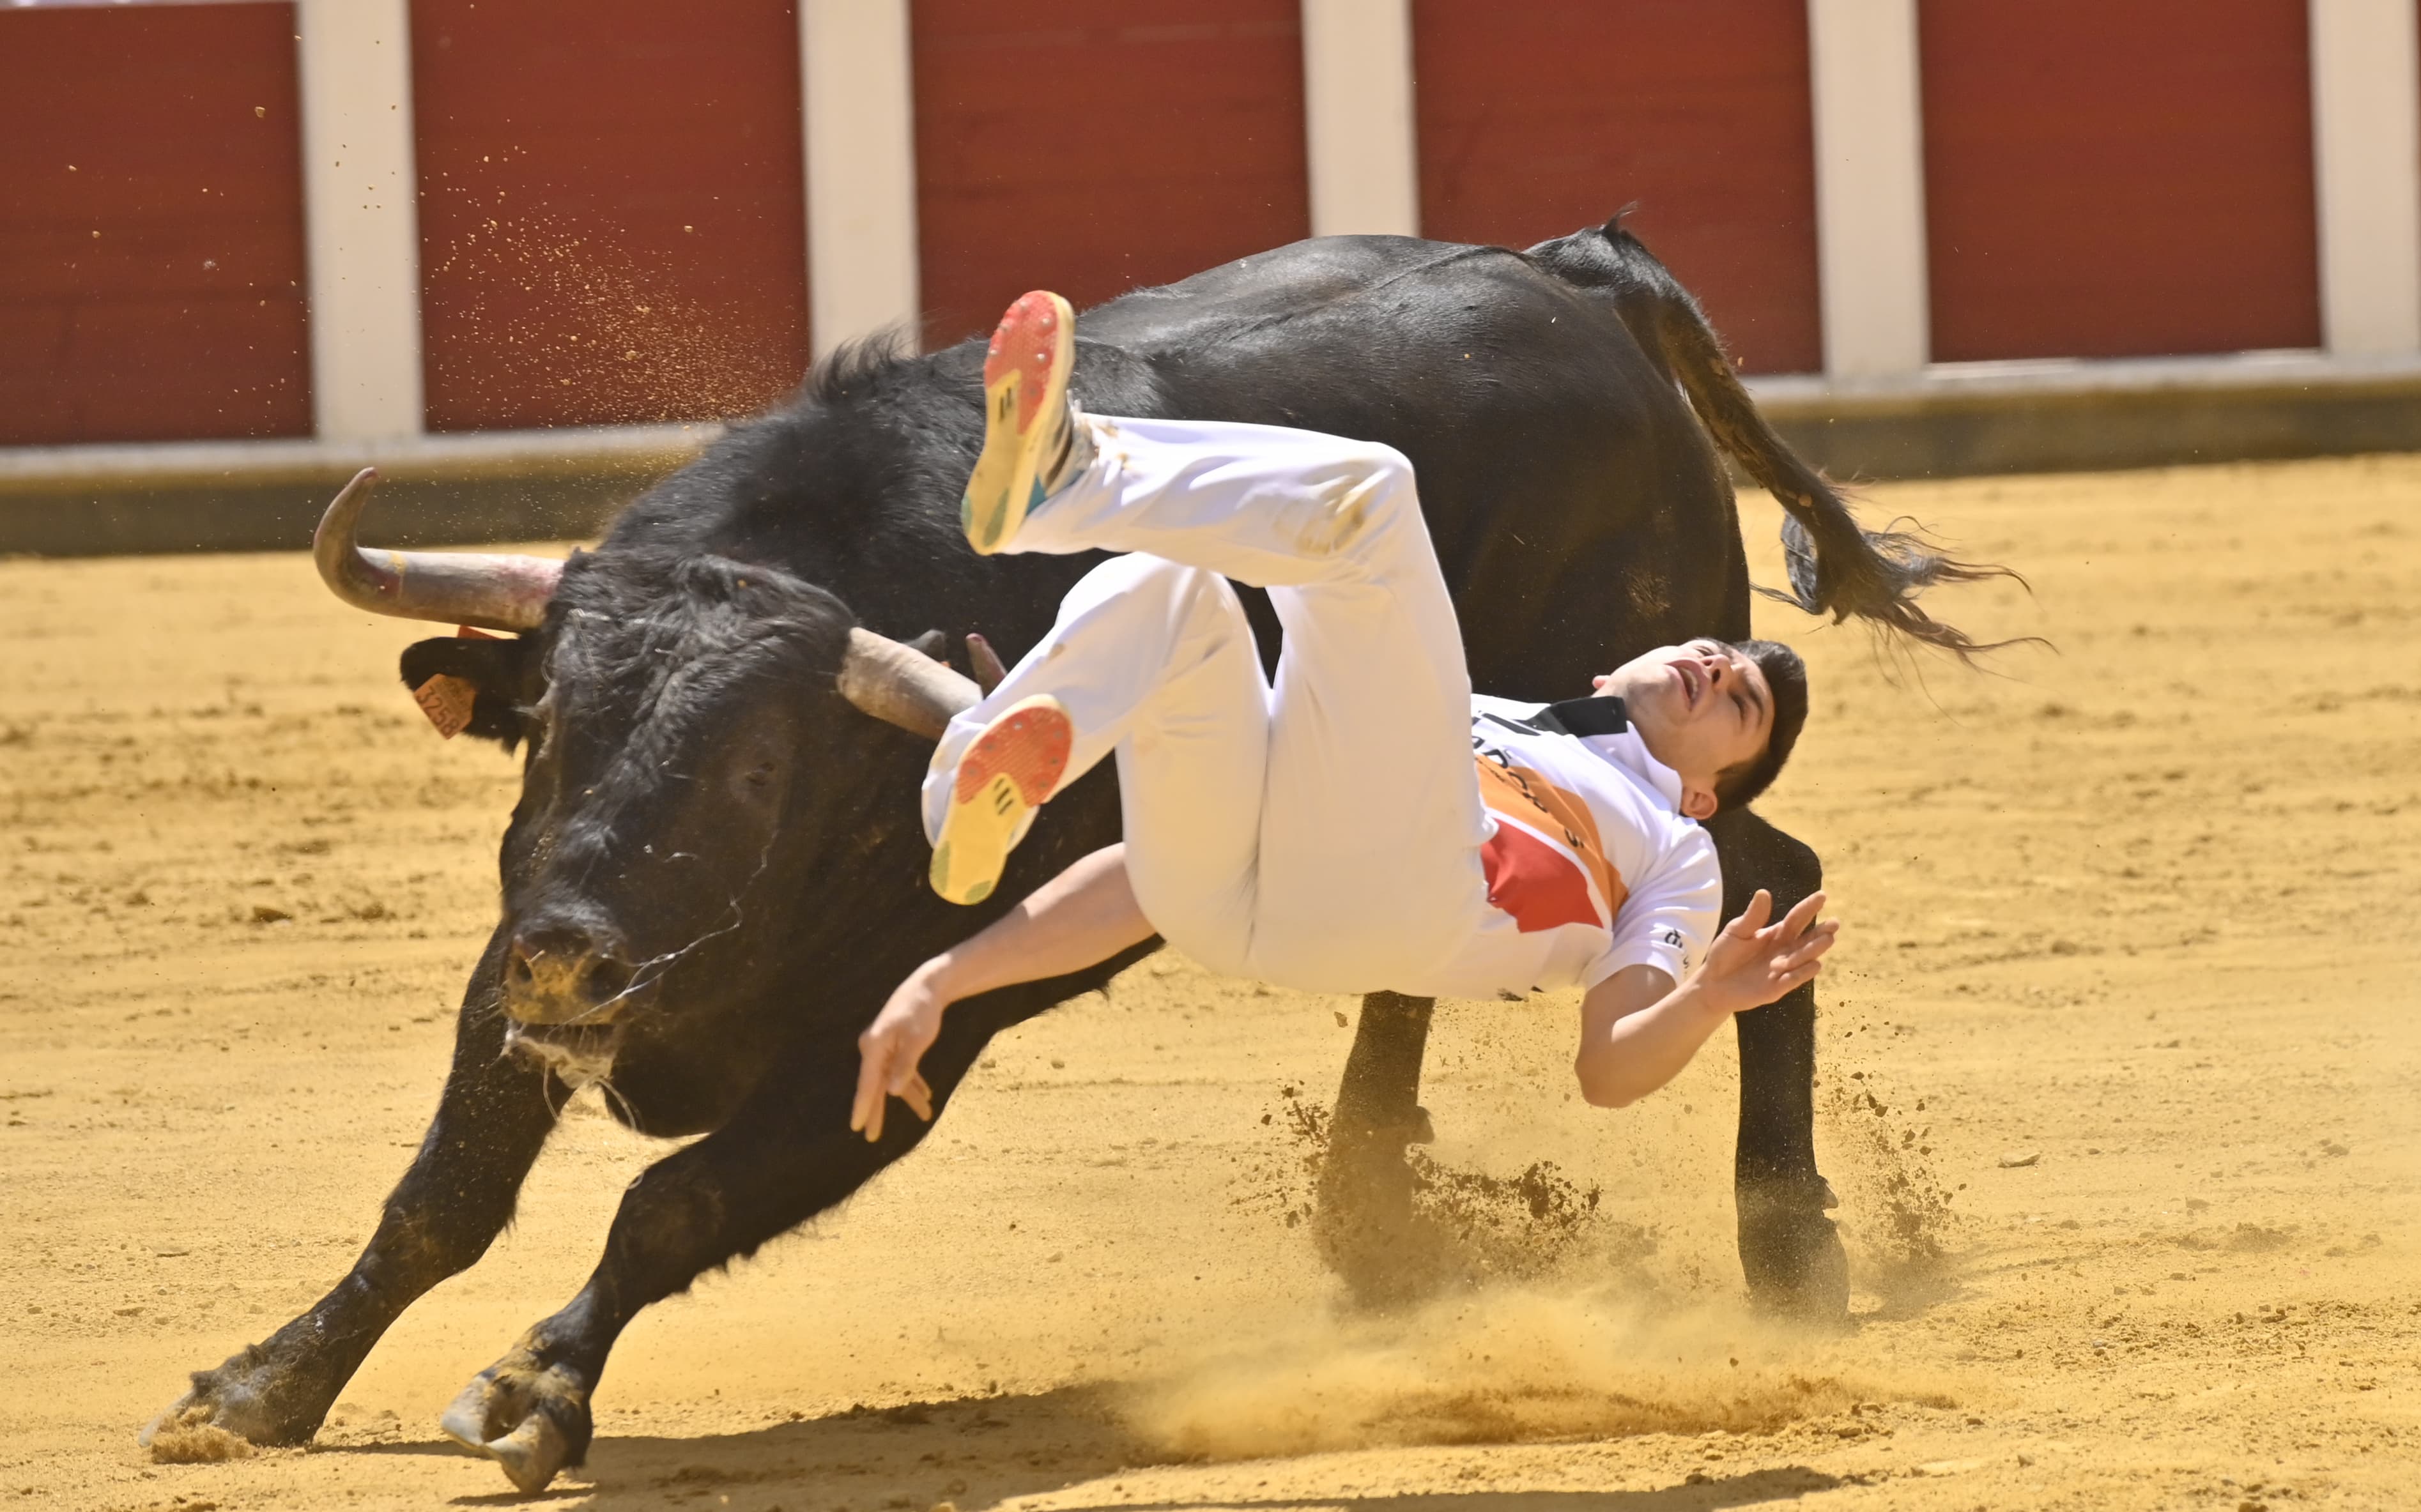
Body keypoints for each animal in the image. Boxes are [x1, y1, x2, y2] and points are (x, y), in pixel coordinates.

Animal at [156, 217, 2004, 1490]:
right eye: (546, 725)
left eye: (756, 760)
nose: (574, 952)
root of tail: (1567, 275)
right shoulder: (527, 944)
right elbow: (443, 1191)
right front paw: (255, 1389)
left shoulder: (918, 1021)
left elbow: (678, 1197)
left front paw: (533, 1388)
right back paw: (1370, 1219)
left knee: (1770, 867)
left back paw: (1788, 1246)